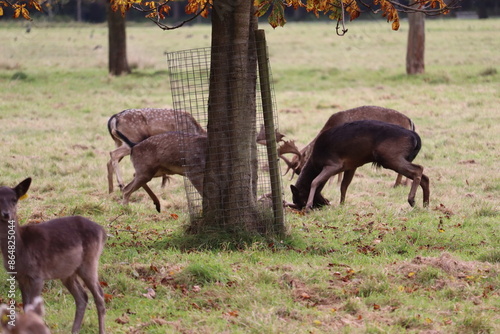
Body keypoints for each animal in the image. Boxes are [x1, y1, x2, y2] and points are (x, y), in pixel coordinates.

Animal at [0, 179, 107, 334]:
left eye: (14, 199)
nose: (6, 214)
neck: (20, 249)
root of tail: (103, 232)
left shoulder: (37, 275)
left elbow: (32, 309)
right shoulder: (20, 277)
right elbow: (25, 307)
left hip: (90, 261)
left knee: (99, 295)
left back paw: (101, 330)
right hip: (68, 273)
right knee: (82, 297)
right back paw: (74, 330)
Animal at [284, 105, 416, 187]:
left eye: (298, 164)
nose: (299, 173)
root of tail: (410, 121)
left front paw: (331, 183)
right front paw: (337, 183)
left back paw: (398, 184)